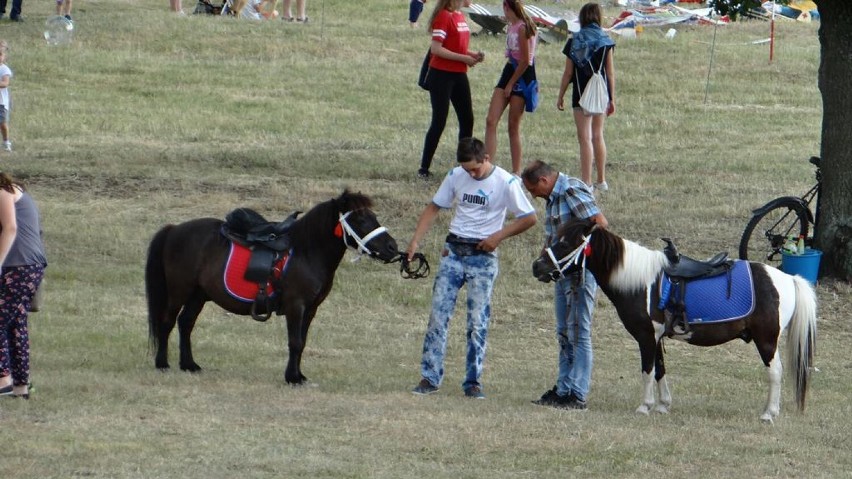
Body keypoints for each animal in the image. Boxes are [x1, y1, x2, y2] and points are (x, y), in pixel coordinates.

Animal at [146, 191, 400, 386]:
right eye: (360, 219)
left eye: (373, 216)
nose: (392, 247)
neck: (306, 251)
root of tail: (174, 229)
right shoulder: (296, 305)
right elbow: (295, 342)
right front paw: (292, 378)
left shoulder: (310, 309)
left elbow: (302, 342)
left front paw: (299, 375)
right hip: (179, 291)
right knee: (168, 322)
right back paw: (162, 364)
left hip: (198, 295)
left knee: (185, 323)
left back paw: (189, 365)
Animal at [532, 218, 820, 424]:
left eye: (565, 244)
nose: (537, 267)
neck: (642, 283)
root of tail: (788, 279)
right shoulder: (656, 337)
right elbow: (660, 369)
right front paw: (662, 405)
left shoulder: (646, 337)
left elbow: (647, 371)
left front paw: (644, 406)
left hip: (766, 341)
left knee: (775, 373)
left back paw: (769, 413)